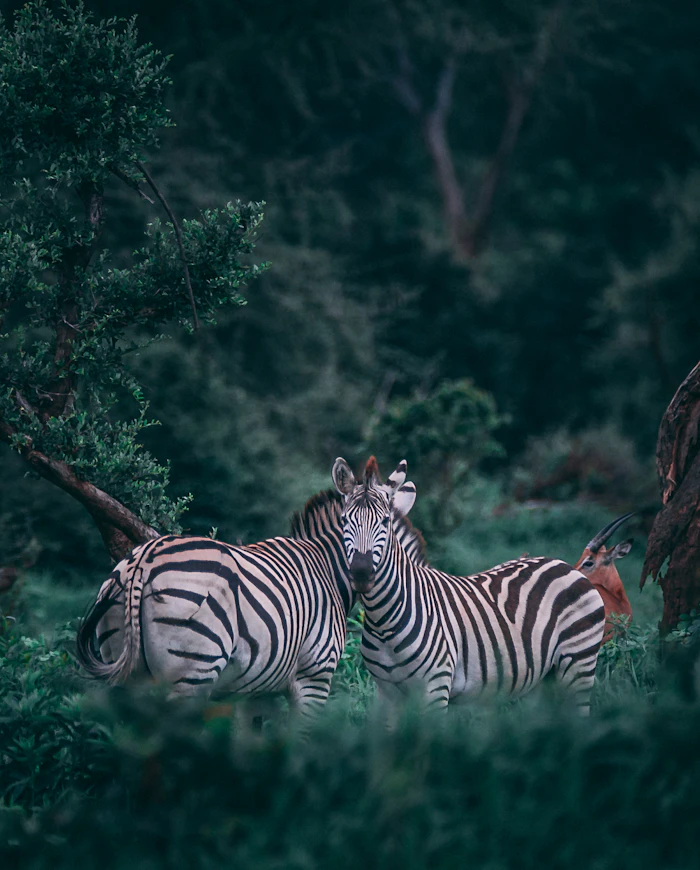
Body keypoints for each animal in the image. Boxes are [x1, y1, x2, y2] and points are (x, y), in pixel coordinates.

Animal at [76, 487, 425, 715]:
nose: (363, 573)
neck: (327, 567)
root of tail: (144, 558)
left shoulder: (258, 688)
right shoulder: (315, 675)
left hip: (124, 666)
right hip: (191, 672)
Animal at [332, 456, 606, 715]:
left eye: (385, 521)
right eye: (344, 520)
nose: (361, 573)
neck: (384, 621)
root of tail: (564, 565)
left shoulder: (436, 687)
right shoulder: (387, 693)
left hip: (579, 664)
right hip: (543, 679)